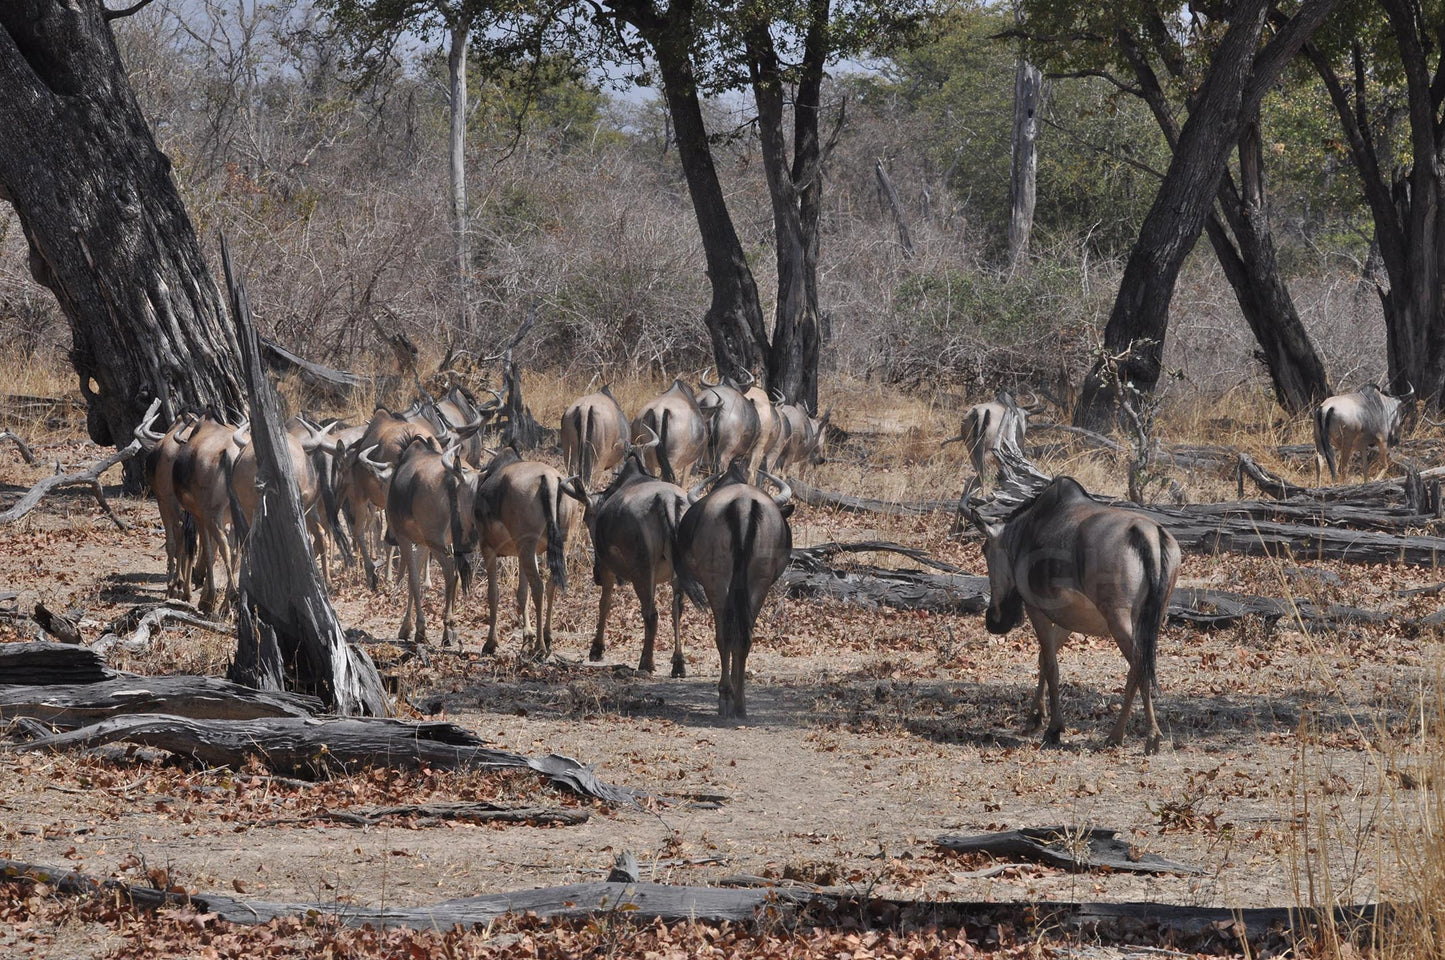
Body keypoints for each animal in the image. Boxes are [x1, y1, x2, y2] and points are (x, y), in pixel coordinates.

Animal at [673, 459, 791, 720]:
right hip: (759, 583)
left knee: (725, 635)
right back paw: (740, 703)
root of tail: (743, 504)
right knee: (744, 636)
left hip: (717, 582)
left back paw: (726, 698)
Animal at [959, 477, 1173, 751]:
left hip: (1119, 622)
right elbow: (1043, 660)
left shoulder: (1036, 610)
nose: (994, 622)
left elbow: (1051, 665)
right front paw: (1035, 718)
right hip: (1147, 622)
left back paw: (1141, 735)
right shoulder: (1068, 621)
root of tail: (1148, 534)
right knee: (1137, 670)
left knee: (1138, 667)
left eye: (985, 550)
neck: (1026, 531)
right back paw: (1121, 735)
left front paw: (1053, 728)